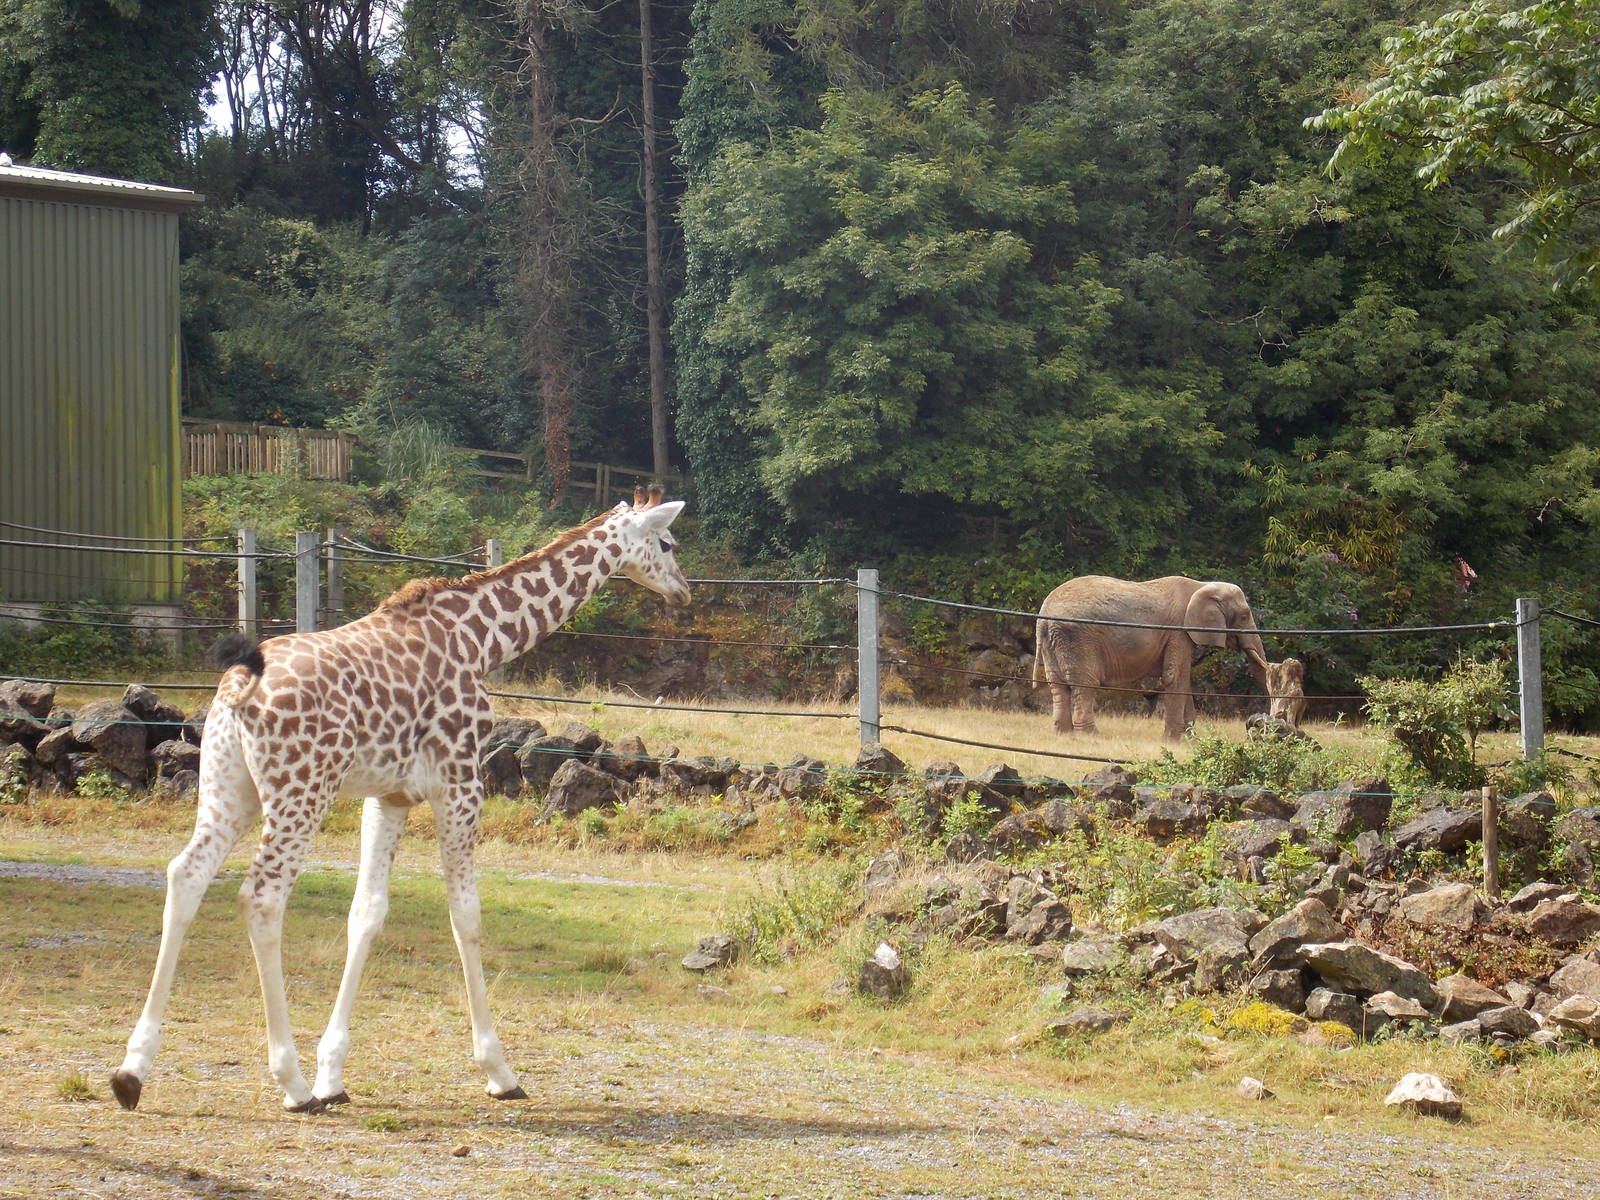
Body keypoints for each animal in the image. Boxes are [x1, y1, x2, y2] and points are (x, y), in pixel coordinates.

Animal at [110, 488, 689, 1113]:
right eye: (667, 543)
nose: (683, 592)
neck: (481, 639)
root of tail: (239, 687)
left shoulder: (388, 797)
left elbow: (366, 913)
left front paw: (333, 1074)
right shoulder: (460, 784)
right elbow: (466, 915)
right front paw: (498, 1070)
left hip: (229, 787)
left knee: (185, 874)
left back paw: (132, 1071)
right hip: (300, 790)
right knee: (261, 897)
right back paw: (290, 1083)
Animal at [1032, 575, 1272, 742]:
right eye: (1244, 616)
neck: (1201, 585)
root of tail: (1043, 614)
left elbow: (1183, 680)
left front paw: (1191, 739)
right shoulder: (1178, 632)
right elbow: (1174, 677)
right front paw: (1174, 740)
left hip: (1053, 641)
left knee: (1058, 685)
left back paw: (1063, 735)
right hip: (1078, 638)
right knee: (1086, 684)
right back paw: (1092, 736)